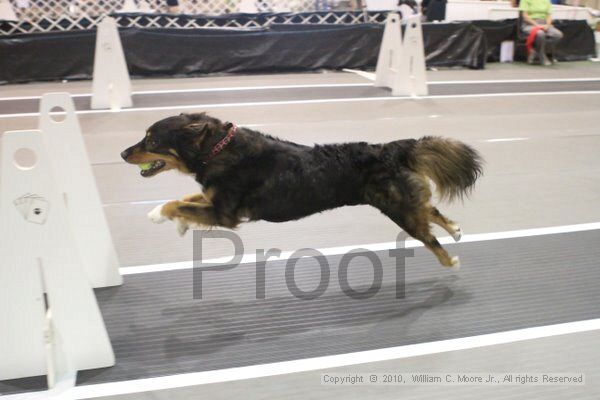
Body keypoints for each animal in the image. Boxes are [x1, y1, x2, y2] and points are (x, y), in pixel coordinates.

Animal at [122, 111, 482, 268]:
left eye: (151, 140)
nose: (123, 153)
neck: (219, 149)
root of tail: (388, 149)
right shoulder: (217, 200)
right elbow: (186, 200)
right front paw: (179, 223)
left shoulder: (226, 214)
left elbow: (176, 203)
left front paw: (159, 214)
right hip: (401, 201)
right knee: (430, 209)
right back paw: (456, 229)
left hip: (397, 209)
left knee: (429, 235)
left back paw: (450, 260)